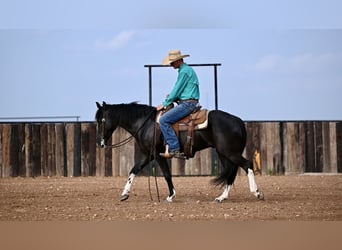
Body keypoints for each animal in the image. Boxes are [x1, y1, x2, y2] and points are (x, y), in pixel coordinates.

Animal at [95, 101, 264, 203]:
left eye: (101, 120)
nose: (99, 142)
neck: (146, 124)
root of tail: (238, 121)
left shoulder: (158, 155)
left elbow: (167, 174)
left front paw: (171, 196)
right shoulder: (147, 155)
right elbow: (133, 170)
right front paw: (124, 194)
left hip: (229, 152)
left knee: (247, 164)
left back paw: (256, 192)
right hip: (224, 154)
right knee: (231, 172)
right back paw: (222, 197)